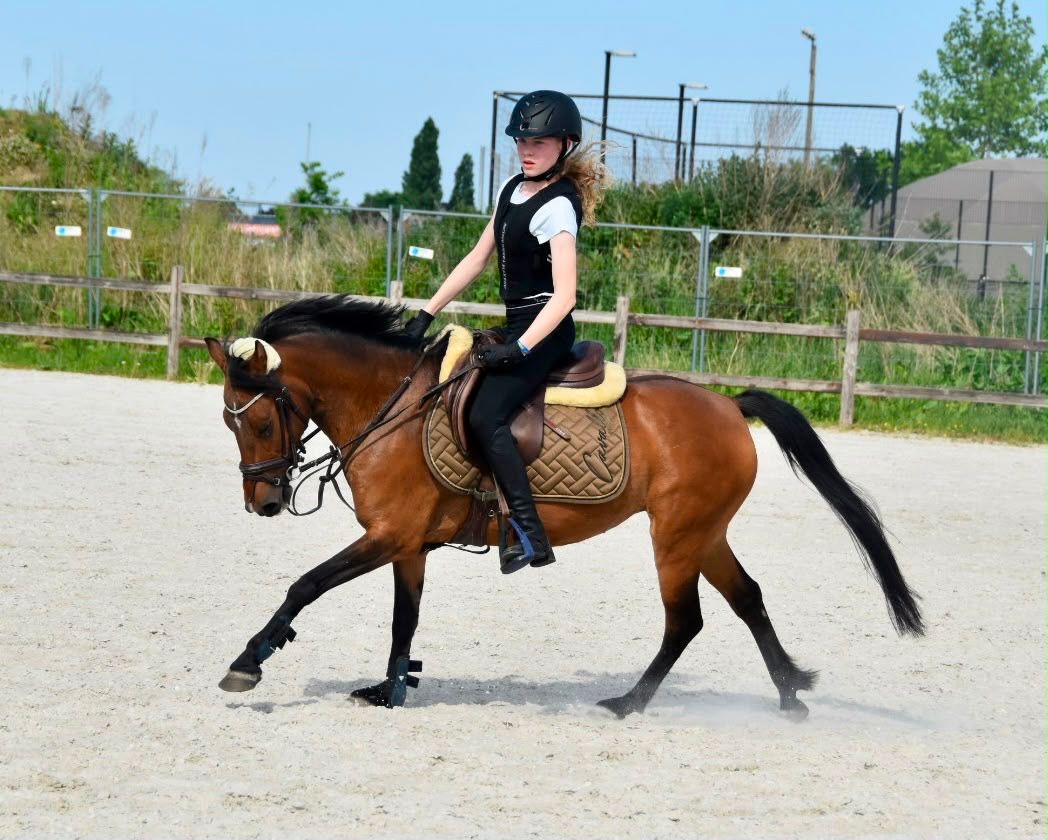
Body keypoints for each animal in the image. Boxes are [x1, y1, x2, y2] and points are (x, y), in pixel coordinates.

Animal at [204, 295, 924, 718]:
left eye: (260, 422)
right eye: (228, 422)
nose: (264, 501)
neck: (391, 406)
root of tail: (728, 404)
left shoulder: (387, 536)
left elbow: (306, 585)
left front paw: (248, 663)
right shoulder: (406, 545)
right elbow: (403, 620)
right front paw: (391, 688)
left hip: (676, 536)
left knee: (685, 620)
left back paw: (630, 702)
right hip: (705, 532)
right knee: (747, 597)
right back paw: (790, 691)